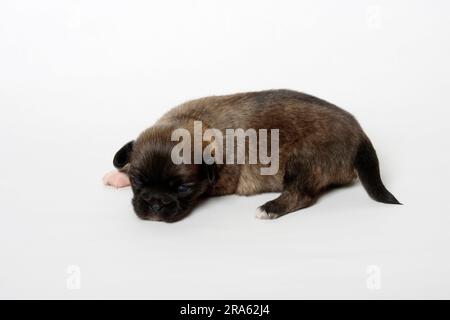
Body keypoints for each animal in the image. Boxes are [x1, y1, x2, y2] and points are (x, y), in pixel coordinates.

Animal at [104, 89, 400, 221]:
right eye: (138, 182)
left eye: (183, 188)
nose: (155, 204)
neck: (193, 123)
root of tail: (359, 134)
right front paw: (118, 174)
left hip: (304, 160)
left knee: (301, 194)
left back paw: (270, 208)